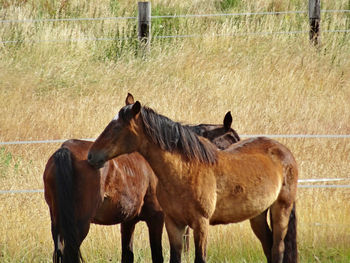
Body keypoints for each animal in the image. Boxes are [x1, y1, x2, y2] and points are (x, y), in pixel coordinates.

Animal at [43, 94, 241, 262]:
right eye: (233, 140)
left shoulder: (128, 222)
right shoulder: (157, 218)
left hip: (58, 225)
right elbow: (157, 256)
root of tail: (65, 150)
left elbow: (127, 255)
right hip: (79, 226)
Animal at [88, 97, 298, 263]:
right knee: (268, 246)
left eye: (116, 128)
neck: (183, 172)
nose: (91, 156)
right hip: (258, 215)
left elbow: (199, 258)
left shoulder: (200, 223)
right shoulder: (174, 223)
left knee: (277, 249)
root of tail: (283, 150)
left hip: (281, 209)